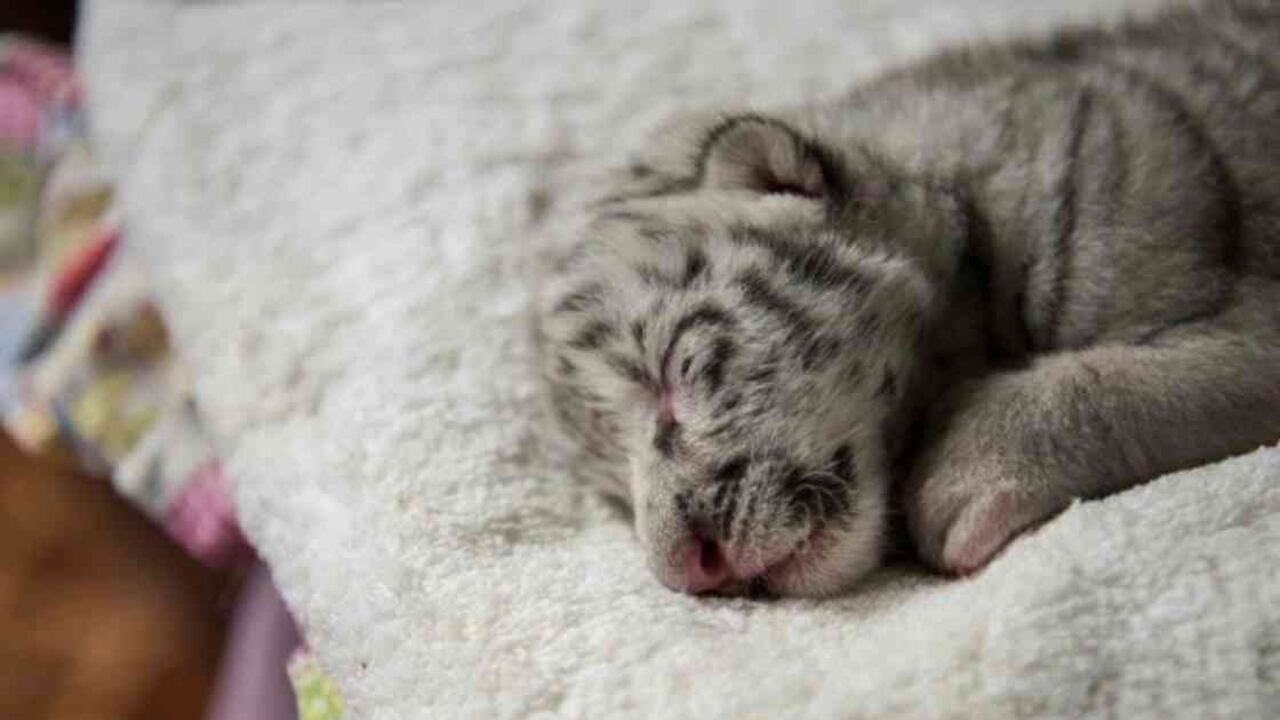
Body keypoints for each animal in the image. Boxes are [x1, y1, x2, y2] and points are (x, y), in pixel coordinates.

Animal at [534, 0, 1280, 597]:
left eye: (669, 376)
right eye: (613, 488)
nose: (691, 571)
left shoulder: (1242, 322)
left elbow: (1101, 388)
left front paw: (961, 483)